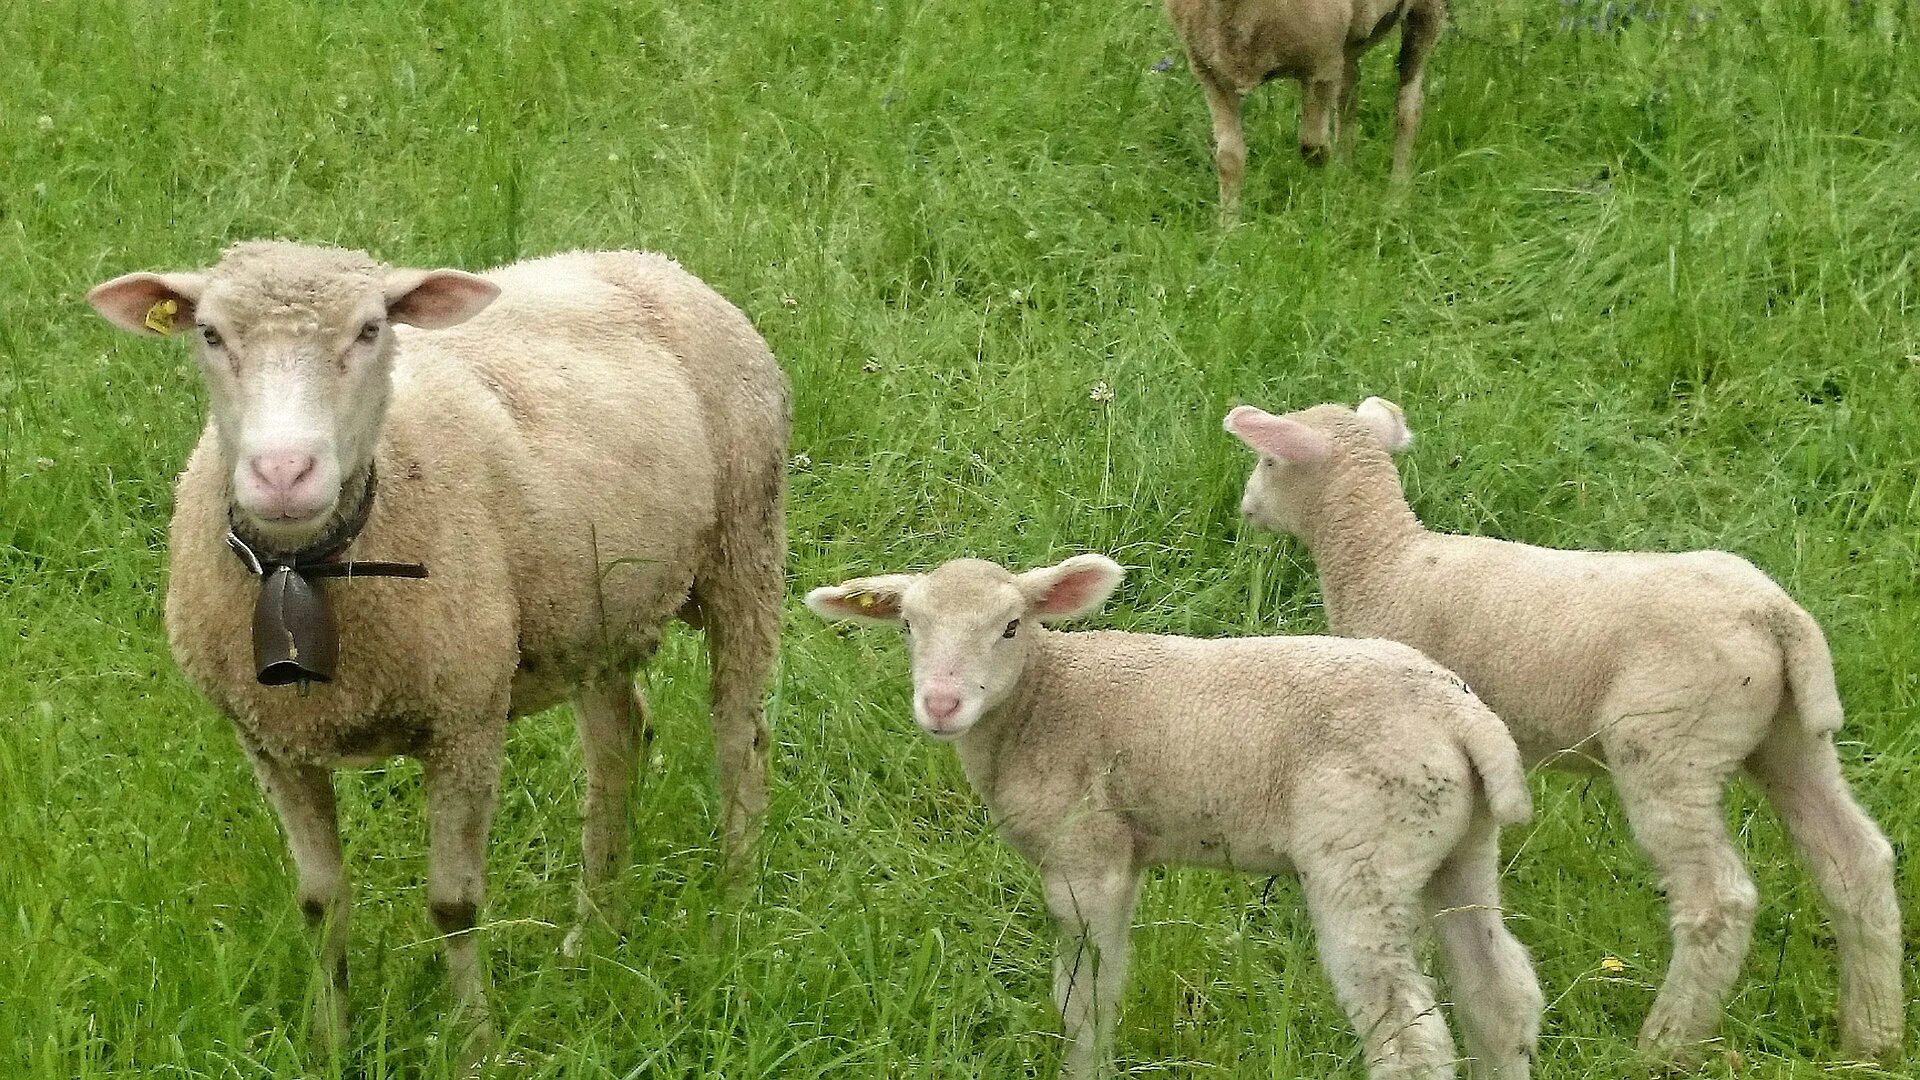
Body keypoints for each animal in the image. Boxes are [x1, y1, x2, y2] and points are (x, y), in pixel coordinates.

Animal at [86, 239, 791, 1053]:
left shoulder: (466, 720)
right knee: (620, 743)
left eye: (371, 330)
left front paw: (476, 1041)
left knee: (740, 739)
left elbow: (454, 905)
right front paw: (331, 1042)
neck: (304, 568)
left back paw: (733, 912)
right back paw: (594, 927)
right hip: (589, 611)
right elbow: (320, 905)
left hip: (747, 543)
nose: (283, 473)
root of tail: (648, 260)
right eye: (208, 334)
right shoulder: (272, 743)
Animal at [806, 553, 1543, 1076]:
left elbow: (1084, 998)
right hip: (1454, 845)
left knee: (1409, 1039)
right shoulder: (1125, 850)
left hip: (1363, 851)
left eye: (1011, 626)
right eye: (908, 626)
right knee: (1499, 999)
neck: (1042, 700)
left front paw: (1084, 1070)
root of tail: (1462, 715)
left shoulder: (1086, 853)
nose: (940, 705)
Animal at [1152, 0, 1443, 213]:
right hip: (1349, 42)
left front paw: (1319, 207)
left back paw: (1397, 195)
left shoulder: (1322, 66)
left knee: (1408, 106)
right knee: (1350, 92)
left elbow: (1313, 149)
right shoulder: (1210, 73)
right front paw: (1228, 231)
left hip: (1424, 12)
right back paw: (1346, 173)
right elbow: (1228, 158)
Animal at [1228, 395, 1904, 1060]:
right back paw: (1872, 1037)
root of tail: (1776, 614)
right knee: (1856, 859)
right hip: (1789, 735)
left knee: (1719, 899)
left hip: (1671, 743)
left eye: (1267, 460)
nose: (1247, 508)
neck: (1384, 560)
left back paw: (1664, 1045)